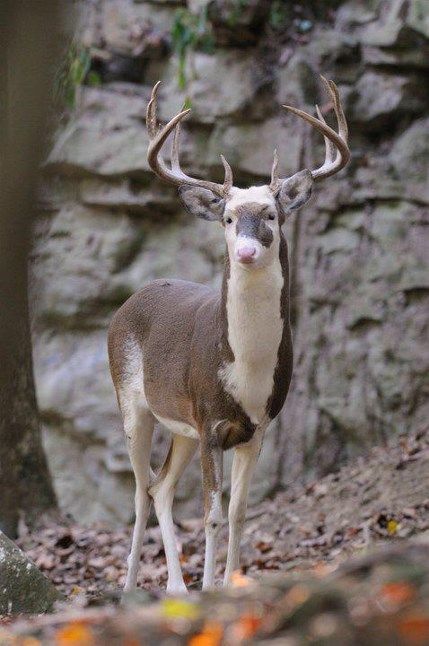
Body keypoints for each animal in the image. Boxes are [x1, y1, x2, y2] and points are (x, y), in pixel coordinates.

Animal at [108, 74, 348, 592]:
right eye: (229, 218)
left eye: (272, 215)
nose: (245, 252)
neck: (246, 371)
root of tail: (129, 302)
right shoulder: (211, 424)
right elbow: (211, 515)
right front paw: (208, 589)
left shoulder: (257, 427)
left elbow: (238, 514)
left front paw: (229, 582)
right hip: (132, 400)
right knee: (139, 490)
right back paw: (130, 587)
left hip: (181, 424)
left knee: (160, 486)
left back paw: (174, 587)